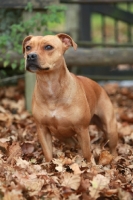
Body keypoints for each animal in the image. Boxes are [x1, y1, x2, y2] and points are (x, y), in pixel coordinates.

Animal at [22, 32, 117, 161]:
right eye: (28, 47)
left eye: (48, 47)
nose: (30, 56)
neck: (50, 85)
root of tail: (99, 86)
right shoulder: (42, 129)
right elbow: (48, 153)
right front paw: (48, 165)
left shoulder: (82, 129)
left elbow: (87, 153)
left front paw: (89, 165)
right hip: (61, 135)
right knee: (73, 142)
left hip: (110, 127)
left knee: (113, 147)